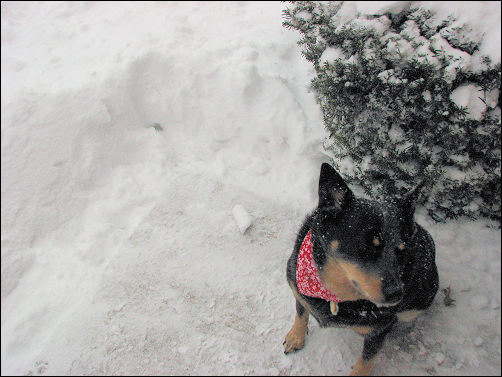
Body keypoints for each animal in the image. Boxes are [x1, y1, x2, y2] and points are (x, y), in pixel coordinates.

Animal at [284, 163, 438, 374]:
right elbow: (301, 312)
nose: (396, 294)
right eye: (366, 246)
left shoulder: (379, 331)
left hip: (418, 303)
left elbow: (366, 361)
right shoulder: (298, 288)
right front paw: (296, 336)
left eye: (402, 251)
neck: (333, 294)